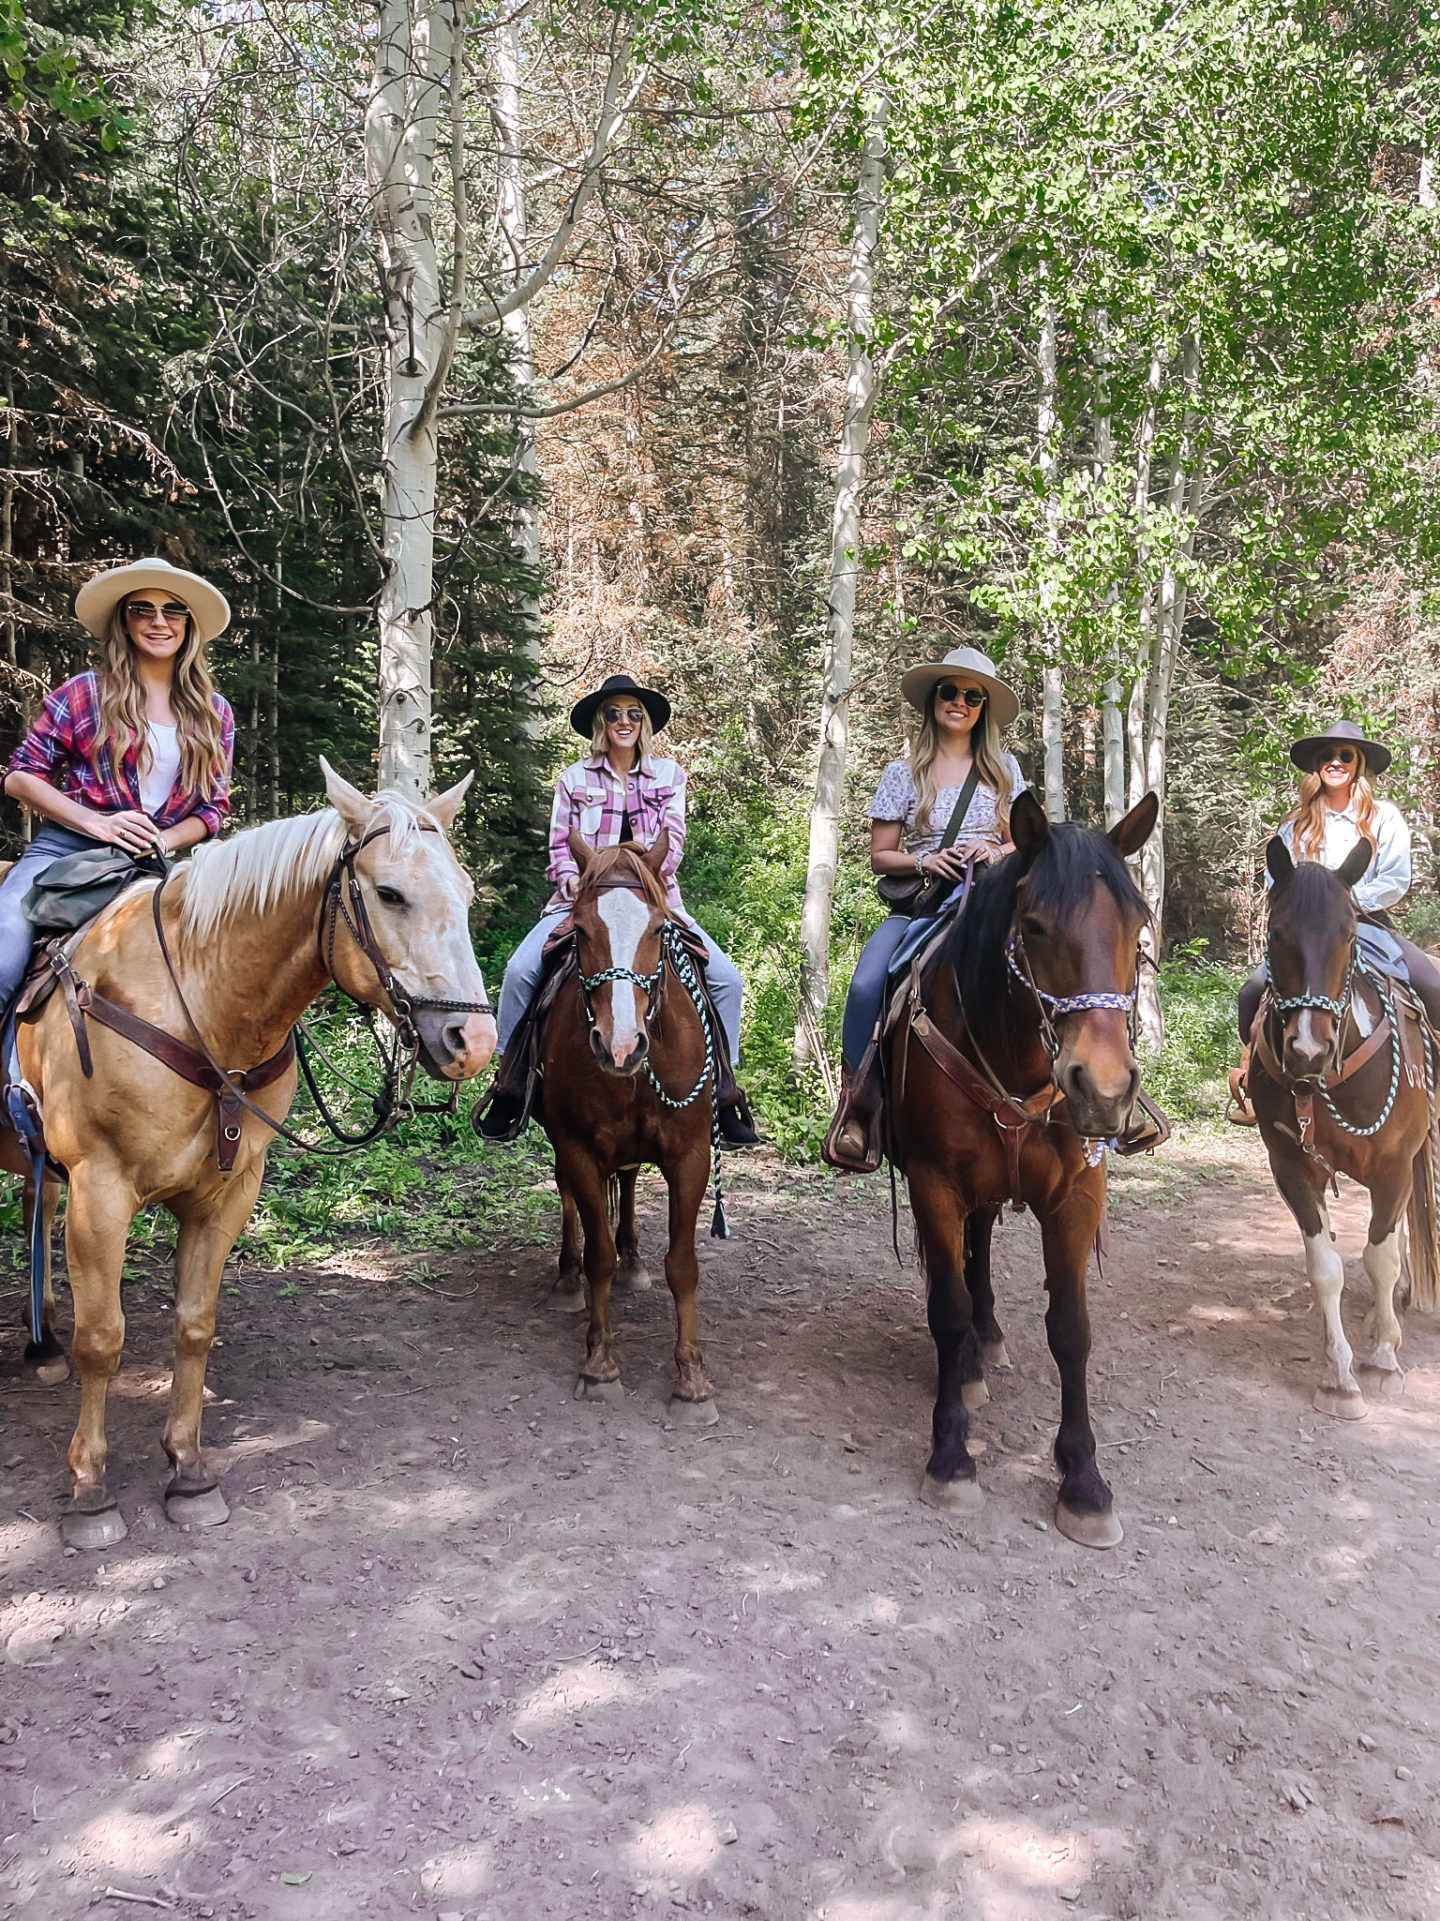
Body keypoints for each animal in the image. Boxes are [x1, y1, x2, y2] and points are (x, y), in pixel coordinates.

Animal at [2, 756, 495, 1552]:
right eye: (390, 893)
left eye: (468, 895)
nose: (471, 1042)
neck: (199, 1004)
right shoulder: (101, 1190)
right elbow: (103, 1338)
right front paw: (89, 1489)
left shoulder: (229, 1193)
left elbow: (194, 1325)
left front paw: (188, 1470)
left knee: (32, 1206)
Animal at [537, 833, 725, 1421]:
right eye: (579, 929)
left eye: (659, 929)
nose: (619, 1046)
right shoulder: (577, 1147)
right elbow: (598, 1255)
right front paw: (599, 1366)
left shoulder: (691, 1156)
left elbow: (682, 1265)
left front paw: (692, 1380)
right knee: (569, 1196)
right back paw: (566, 1276)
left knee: (629, 1177)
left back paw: (634, 1261)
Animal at [890, 787, 1159, 1552]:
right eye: (1034, 927)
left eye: (1139, 927)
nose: (1103, 1090)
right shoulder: (933, 1180)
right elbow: (946, 1310)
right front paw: (951, 1458)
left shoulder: (1077, 1194)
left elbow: (1070, 1327)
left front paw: (1085, 1482)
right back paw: (971, 1365)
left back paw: (990, 1344)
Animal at [1244, 837, 1436, 1413]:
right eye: (1276, 933)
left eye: (1349, 933)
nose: (1308, 1050)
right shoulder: (1290, 1166)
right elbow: (1326, 1267)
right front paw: (1340, 1375)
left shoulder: (1395, 1165)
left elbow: (1379, 1259)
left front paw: (1385, 1360)